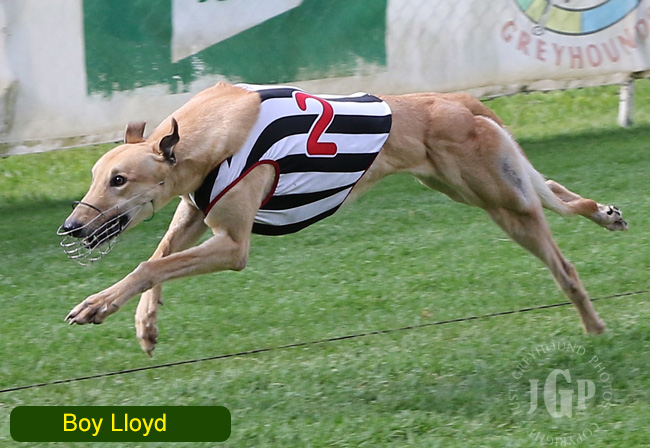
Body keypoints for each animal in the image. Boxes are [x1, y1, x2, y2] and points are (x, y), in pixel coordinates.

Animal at [59, 82, 628, 356]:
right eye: (95, 176)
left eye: (119, 180)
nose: (72, 227)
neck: (207, 137)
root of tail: (460, 102)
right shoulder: (196, 214)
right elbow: (158, 258)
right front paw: (145, 324)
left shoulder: (232, 243)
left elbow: (150, 265)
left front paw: (95, 305)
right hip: (488, 189)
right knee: (555, 194)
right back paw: (605, 213)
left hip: (505, 206)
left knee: (565, 267)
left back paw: (595, 326)